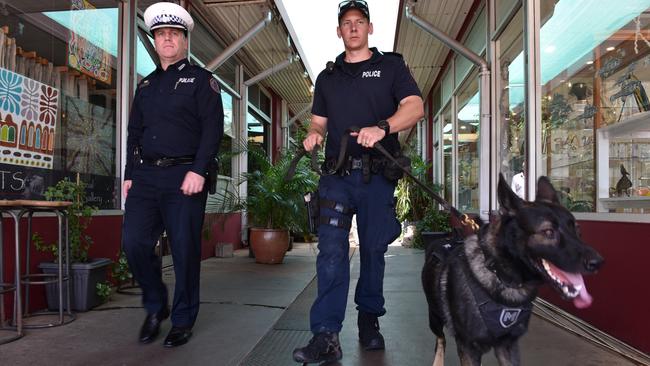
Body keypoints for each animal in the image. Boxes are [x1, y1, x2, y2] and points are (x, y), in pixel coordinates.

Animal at [420, 174, 604, 366]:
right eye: (548, 231)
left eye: (577, 230)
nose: (598, 262)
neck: (501, 274)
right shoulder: (469, 349)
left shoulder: (508, 345)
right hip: (435, 316)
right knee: (440, 339)